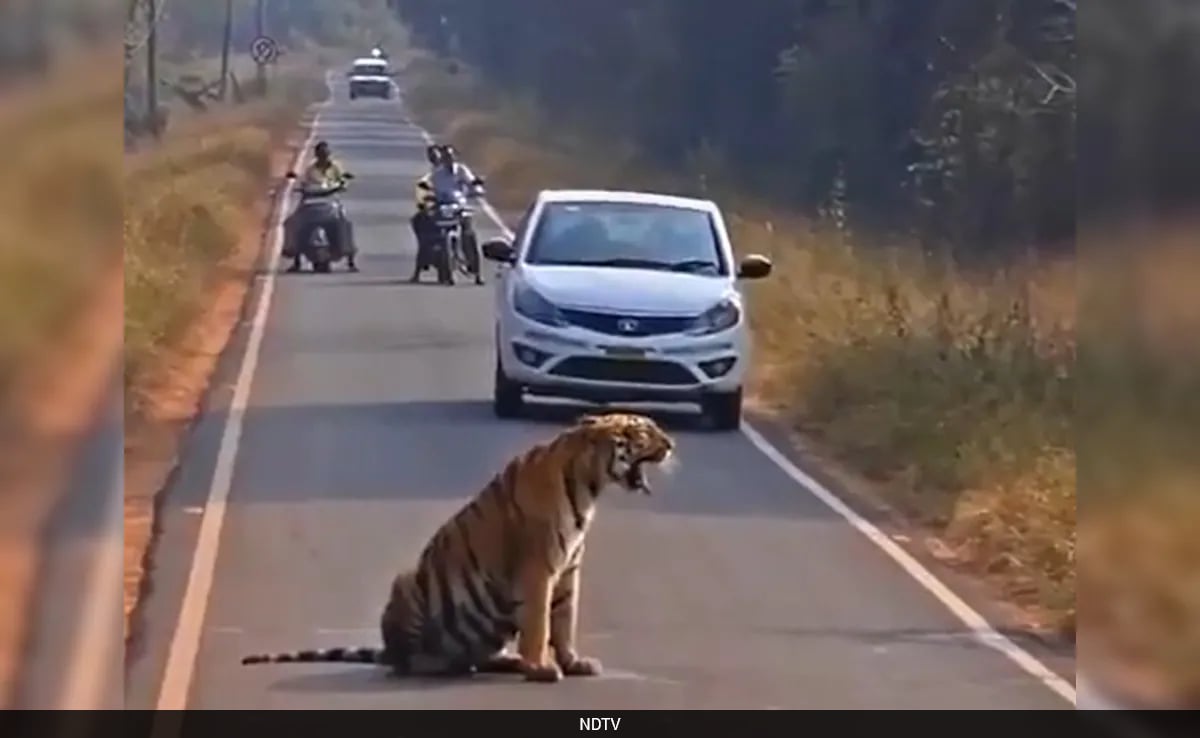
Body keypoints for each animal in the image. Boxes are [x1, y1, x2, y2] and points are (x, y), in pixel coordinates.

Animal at [240, 411, 676, 682]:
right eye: (643, 433)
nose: (671, 444)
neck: (589, 485)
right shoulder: (538, 569)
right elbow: (540, 623)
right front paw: (541, 668)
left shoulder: (568, 570)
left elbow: (564, 620)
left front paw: (573, 662)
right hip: (408, 587)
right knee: (406, 662)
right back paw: (438, 663)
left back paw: (504, 661)